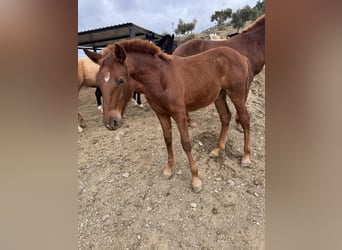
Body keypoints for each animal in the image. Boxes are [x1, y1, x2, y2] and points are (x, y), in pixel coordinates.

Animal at [84, 39, 251, 192]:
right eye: (98, 81)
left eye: (121, 80)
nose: (110, 122)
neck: (160, 78)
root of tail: (241, 56)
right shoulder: (161, 114)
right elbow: (168, 139)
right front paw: (169, 169)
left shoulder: (180, 114)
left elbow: (186, 143)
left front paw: (196, 179)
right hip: (219, 95)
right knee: (225, 117)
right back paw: (217, 150)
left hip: (236, 94)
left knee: (244, 119)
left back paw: (246, 157)